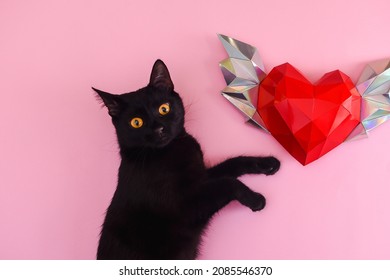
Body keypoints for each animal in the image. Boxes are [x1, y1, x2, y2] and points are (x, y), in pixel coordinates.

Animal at [92, 60, 278, 260]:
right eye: (136, 122)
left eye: (164, 108)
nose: (159, 129)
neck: (170, 150)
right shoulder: (185, 206)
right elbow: (228, 183)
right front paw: (255, 199)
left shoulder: (201, 176)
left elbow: (232, 164)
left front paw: (268, 164)